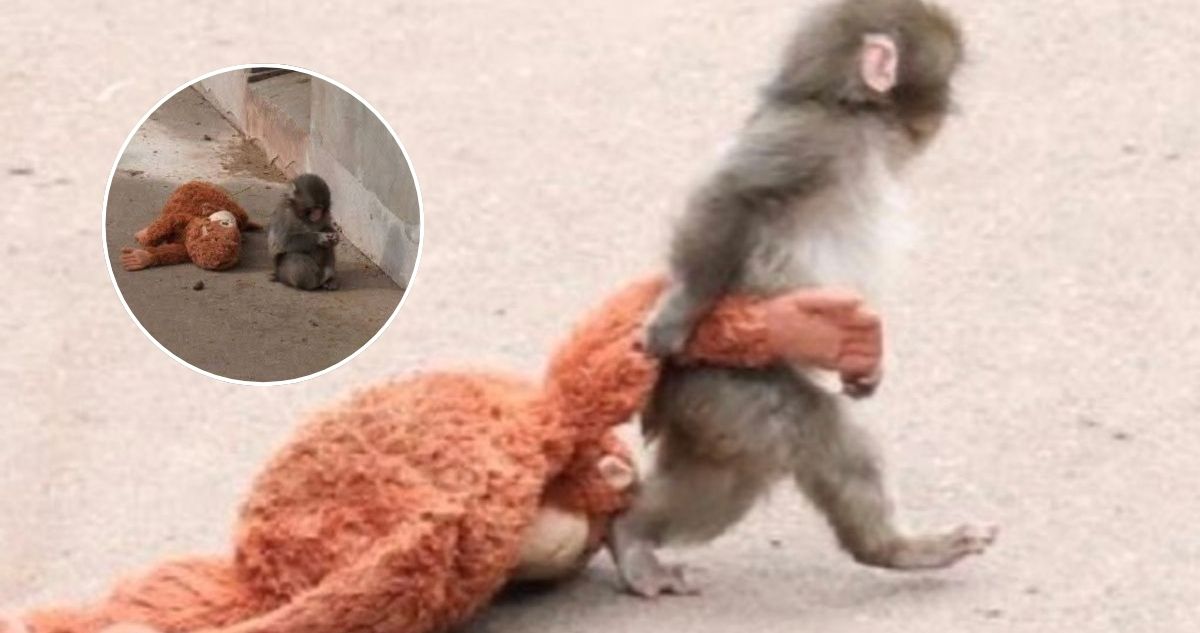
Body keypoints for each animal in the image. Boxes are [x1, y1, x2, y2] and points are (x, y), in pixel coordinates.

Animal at [609, 0, 996, 598]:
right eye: (948, 77)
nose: (950, 109)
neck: (846, 110)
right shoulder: (811, 139)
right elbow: (731, 192)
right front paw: (678, 312)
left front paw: (867, 369)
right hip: (726, 382)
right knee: (818, 433)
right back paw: (896, 549)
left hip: (714, 409)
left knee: (726, 477)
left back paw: (634, 530)